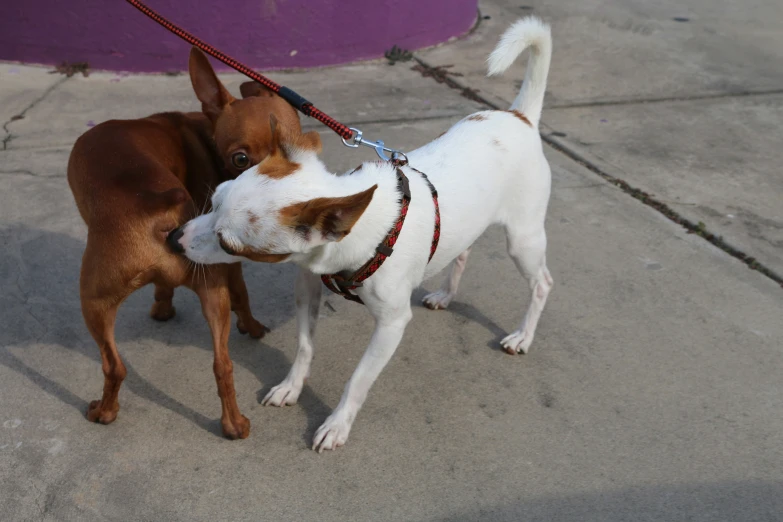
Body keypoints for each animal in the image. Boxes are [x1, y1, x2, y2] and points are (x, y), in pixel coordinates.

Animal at [67, 47, 302, 438]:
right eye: (241, 159)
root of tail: (154, 200)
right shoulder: (224, 265)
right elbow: (225, 293)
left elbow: (239, 294)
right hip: (205, 292)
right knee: (222, 365)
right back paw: (234, 426)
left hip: (91, 301)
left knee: (114, 367)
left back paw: (104, 412)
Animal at [172, 17, 556, 450]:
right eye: (215, 197)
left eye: (229, 244)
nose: (174, 238)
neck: (359, 236)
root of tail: (520, 116)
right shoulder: (308, 288)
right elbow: (304, 347)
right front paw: (292, 386)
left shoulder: (391, 325)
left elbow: (357, 380)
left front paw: (338, 423)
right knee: (463, 252)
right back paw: (446, 294)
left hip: (523, 240)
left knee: (542, 282)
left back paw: (523, 335)